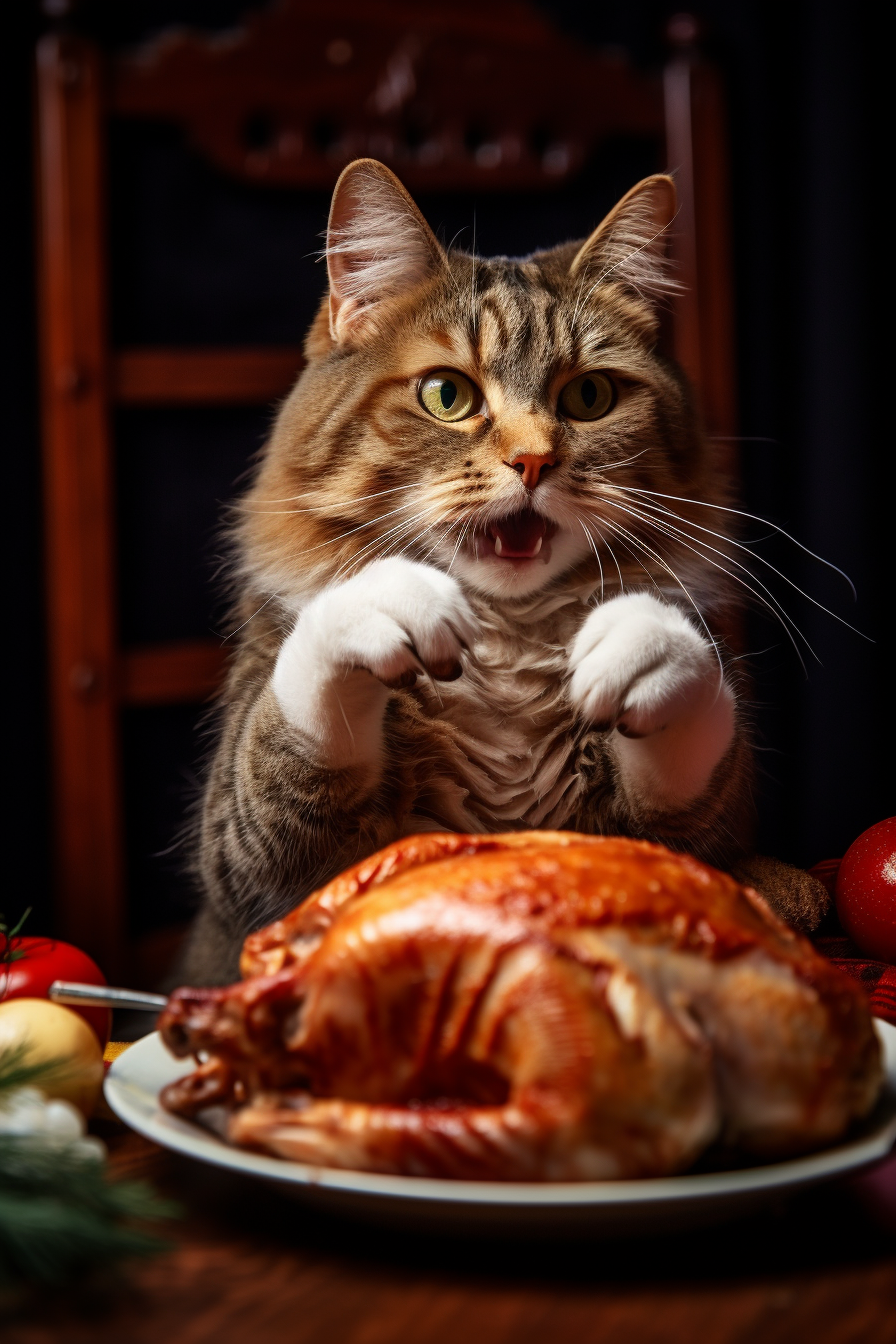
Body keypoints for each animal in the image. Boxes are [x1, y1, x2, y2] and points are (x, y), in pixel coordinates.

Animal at [180, 157, 827, 983]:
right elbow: (285, 740)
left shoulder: (700, 827)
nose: (533, 462)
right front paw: (383, 606)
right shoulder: (252, 865)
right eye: (447, 395)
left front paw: (646, 648)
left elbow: (690, 751)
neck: (507, 639)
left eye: (590, 396)